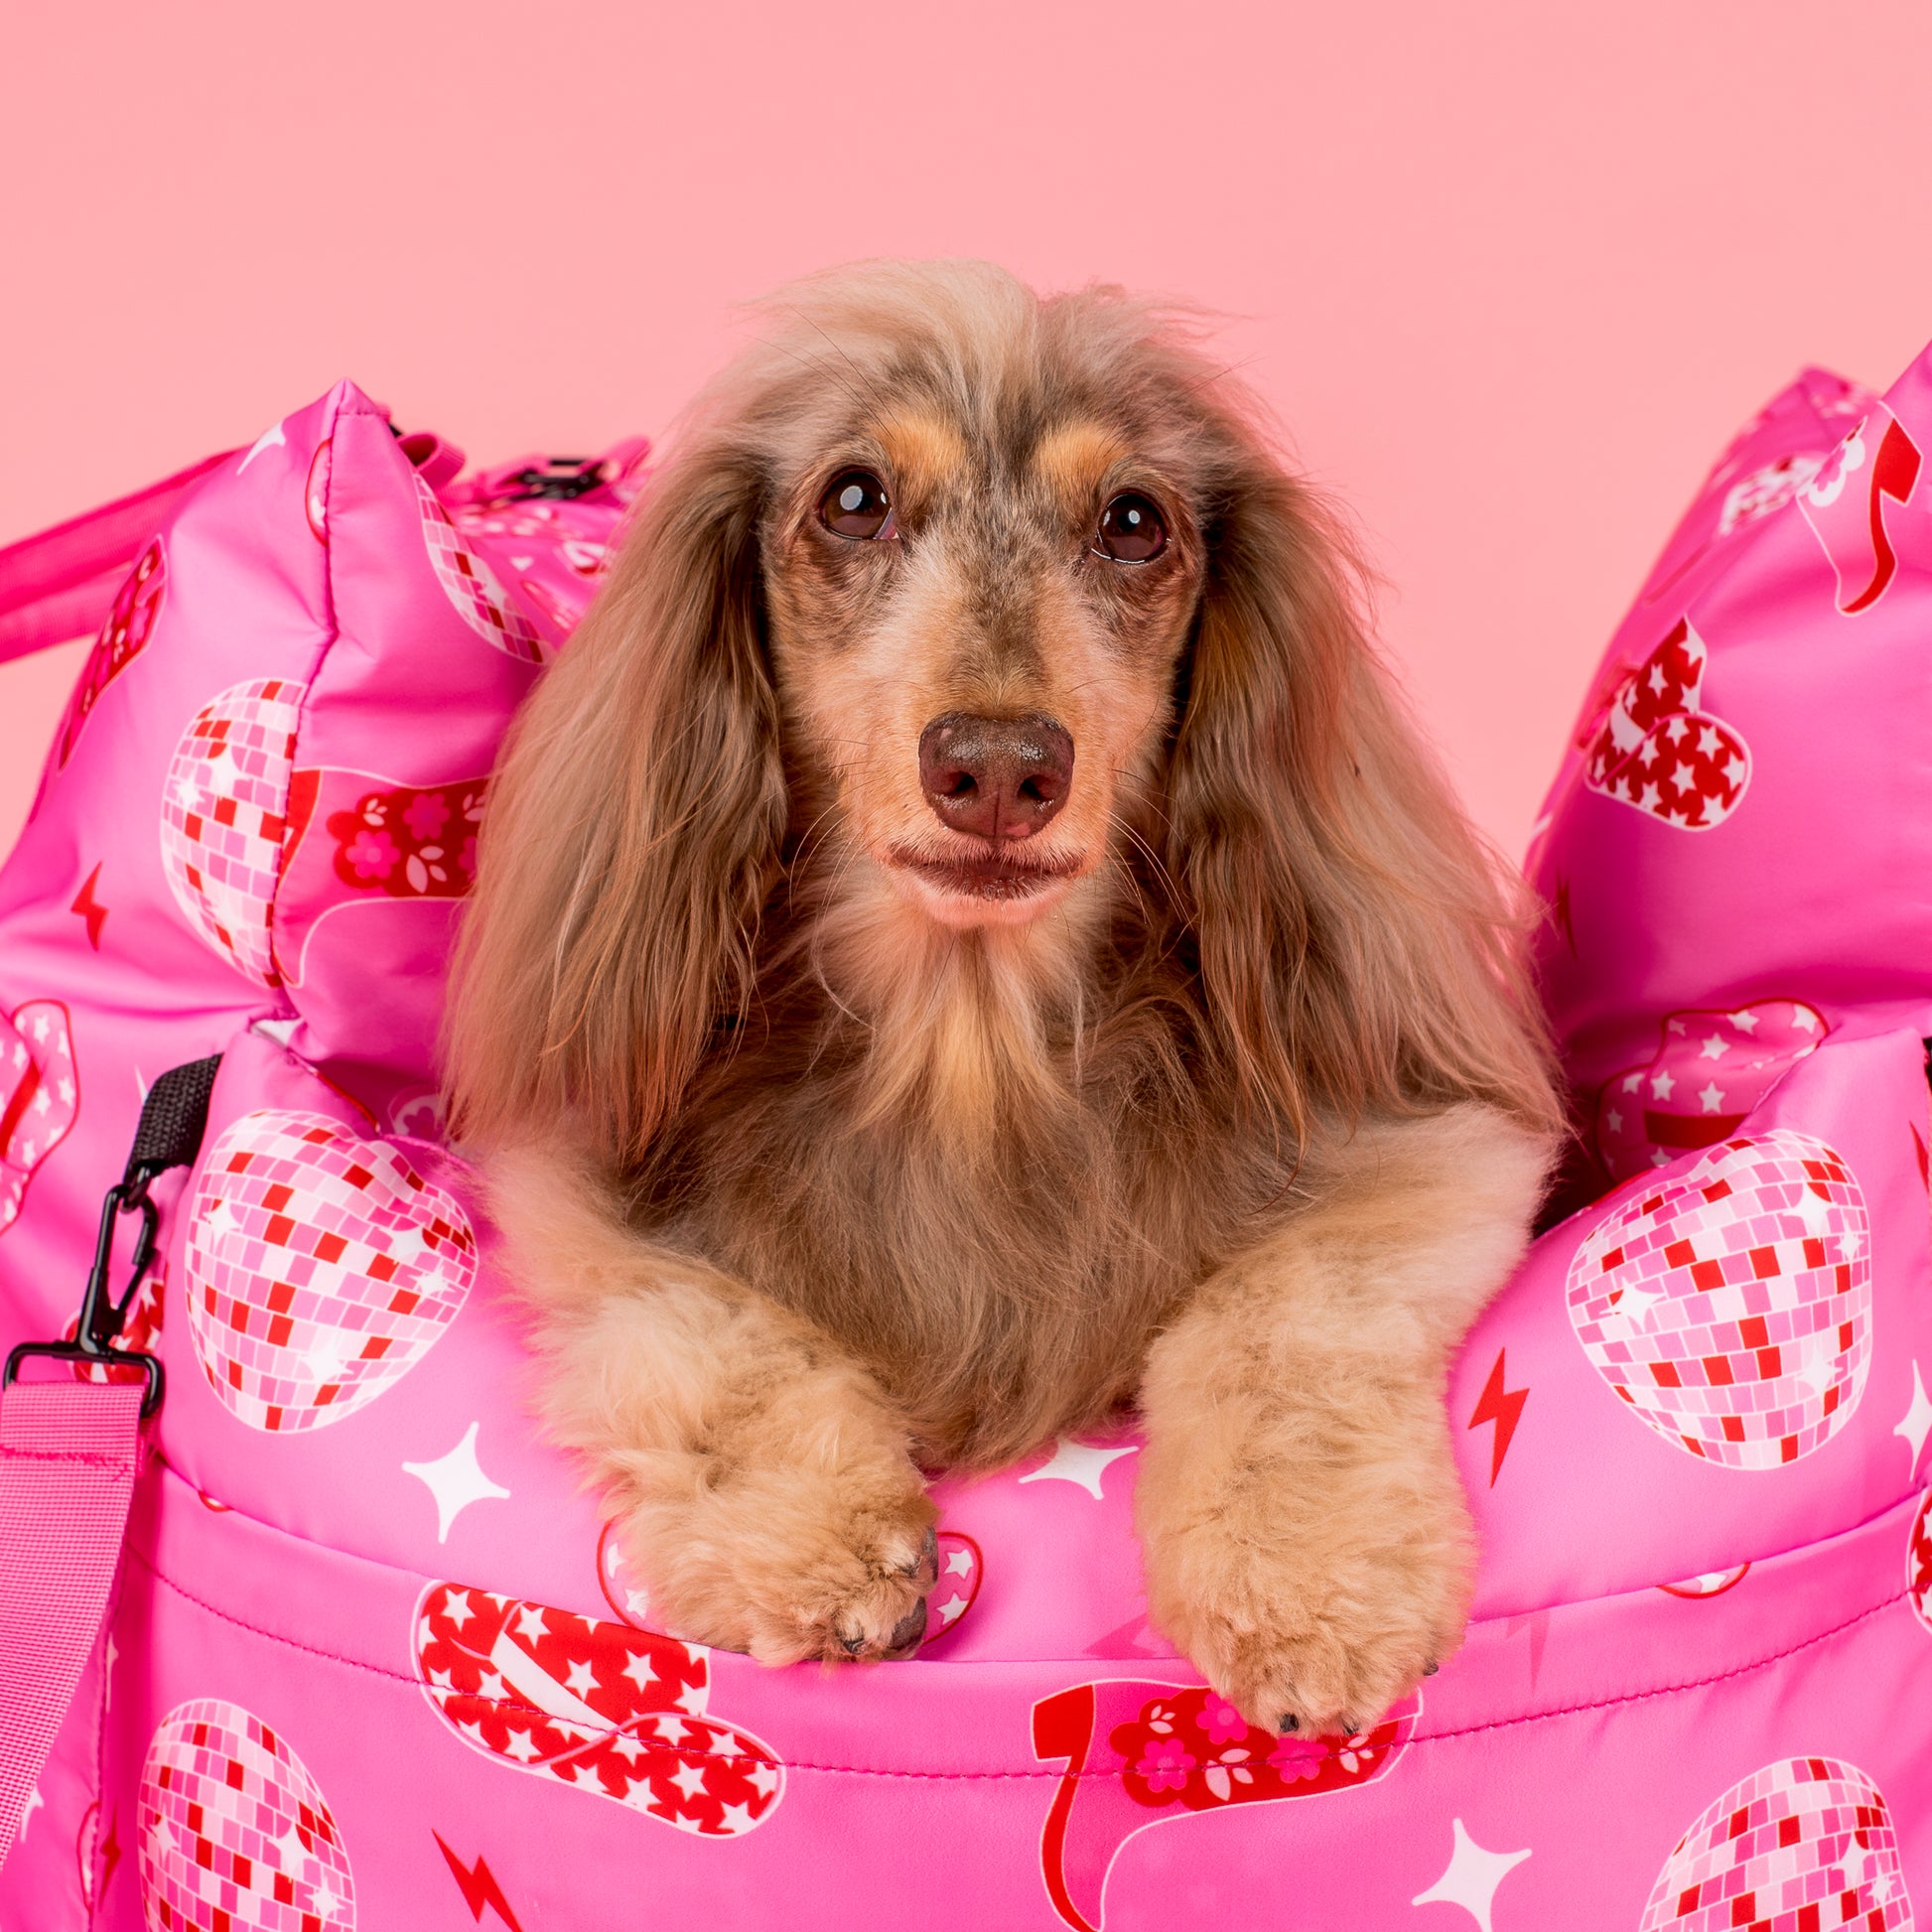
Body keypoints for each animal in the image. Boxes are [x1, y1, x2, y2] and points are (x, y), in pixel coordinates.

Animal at [443, 259, 1559, 1739]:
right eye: (854, 499)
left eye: (1133, 522)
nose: (995, 767)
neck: (969, 1042)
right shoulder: (582, 1198)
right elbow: (706, 1329)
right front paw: (827, 1541)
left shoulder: (1429, 1154)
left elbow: (1276, 1321)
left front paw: (1306, 1581)